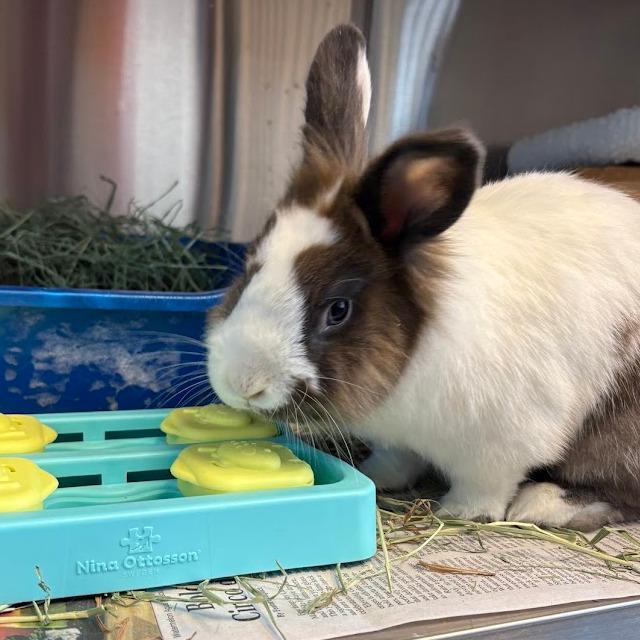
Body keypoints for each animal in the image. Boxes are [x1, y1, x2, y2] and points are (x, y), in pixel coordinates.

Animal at [206, 24, 640, 531]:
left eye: (338, 310)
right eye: (248, 271)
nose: (243, 385)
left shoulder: (503, 442)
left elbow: (485, 484)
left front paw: (462, 512)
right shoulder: (399, 436)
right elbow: (397, 458)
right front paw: (380, 476)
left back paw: (543, 503)